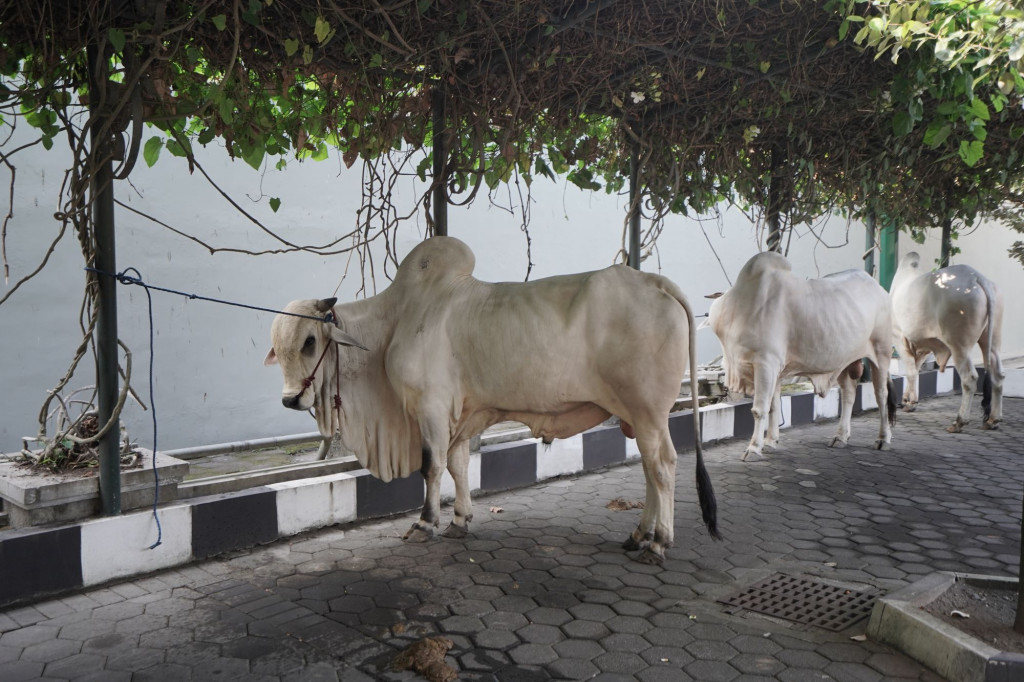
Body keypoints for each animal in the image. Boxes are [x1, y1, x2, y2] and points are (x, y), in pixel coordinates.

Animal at [264, 235, 720, 561]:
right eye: (278, 348)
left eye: (308, 342)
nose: (288, 400)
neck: (393, 325)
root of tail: (658, 282)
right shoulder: (459, 414)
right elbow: (459, 466)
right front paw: (460, 520)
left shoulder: (430, 408)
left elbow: (432, 467)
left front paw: (425, 523)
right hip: (638, 417)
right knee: (649, 469)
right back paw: (638, 534)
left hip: (648, 412)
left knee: (662, 466)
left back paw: (658, 543)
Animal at [892, 249, 1003, 430]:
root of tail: (977, 277)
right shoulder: (922, 347)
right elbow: (915, 370)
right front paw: (909, 401)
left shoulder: (899, 338)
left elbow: (910, 372)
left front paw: (908, 401)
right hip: (993, 341)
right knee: (998, 375)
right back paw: (993, 420)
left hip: (959, 345)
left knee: (970, 378)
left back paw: (960, 421)